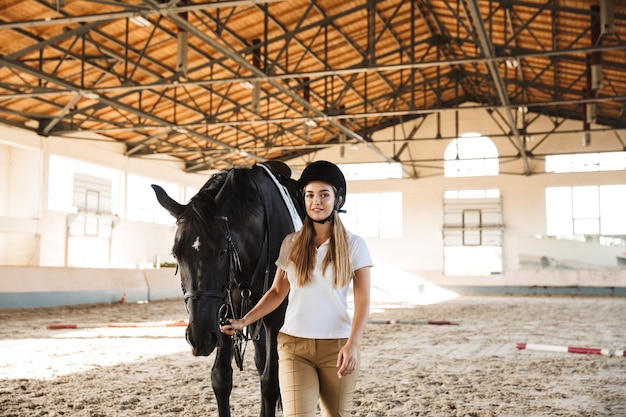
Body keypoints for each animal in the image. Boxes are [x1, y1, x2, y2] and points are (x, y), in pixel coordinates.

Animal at [152, 162, 304, 416]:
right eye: (175, 254)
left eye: (222, 250)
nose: (199, 338)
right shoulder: (224, 314)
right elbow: (221, 379)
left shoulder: (276, 316)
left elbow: (271, 382)